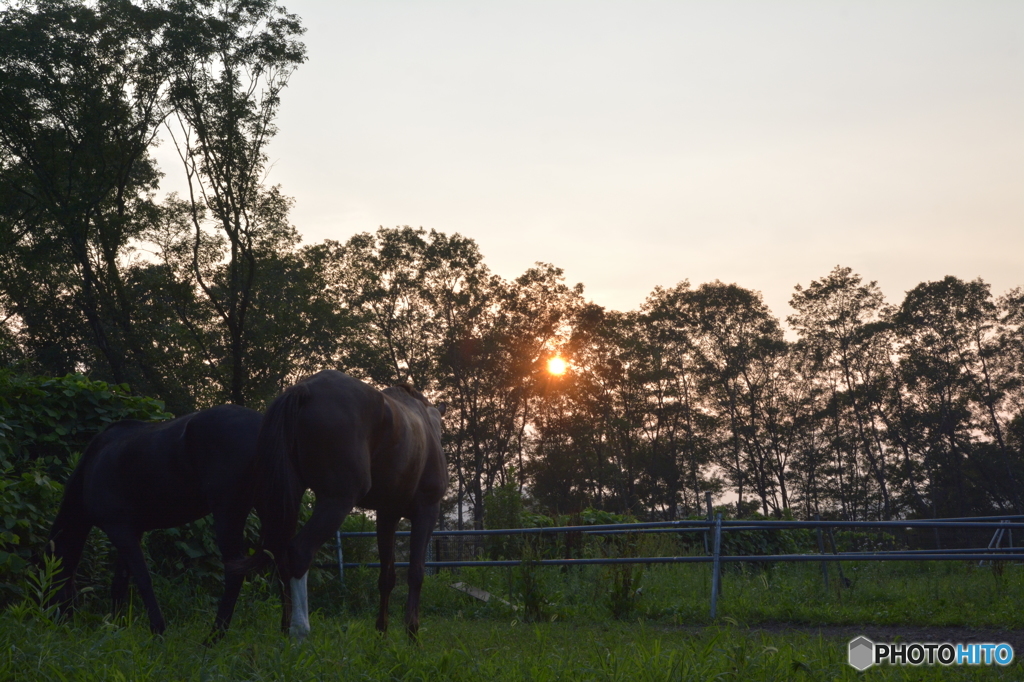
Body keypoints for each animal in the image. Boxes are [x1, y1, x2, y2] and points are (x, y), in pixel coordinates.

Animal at [48, 403, 264, 630]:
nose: (50, 620)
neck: (92, 465)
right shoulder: (132, 531)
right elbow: (120, 583)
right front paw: (117, 625)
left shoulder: (119, 530)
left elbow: (142, 579)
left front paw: (157, 628)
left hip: (227, 515)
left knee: (234, 574)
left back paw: (215, 634)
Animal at [253, 366, 446, 638]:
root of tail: (304, 390)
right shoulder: (427, 512)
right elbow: (415, 573)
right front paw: (412, 633)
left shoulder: (387, 516)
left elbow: (387, 576)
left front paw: (382, 632)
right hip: (337, 502)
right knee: (299, 552)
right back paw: (300, 630)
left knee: (279, 555)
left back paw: (285, 627)